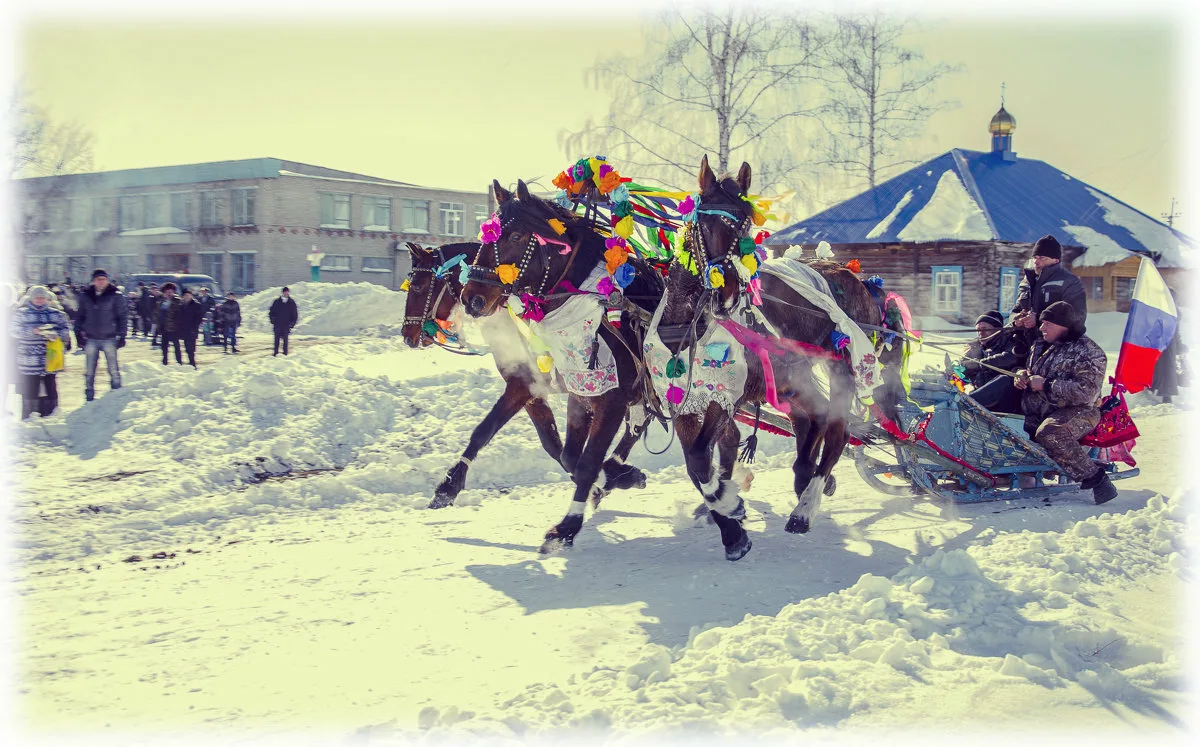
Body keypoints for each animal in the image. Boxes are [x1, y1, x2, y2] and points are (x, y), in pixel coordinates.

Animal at [400, 238, 648, 509]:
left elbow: (483, 431)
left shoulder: (523, 386)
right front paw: (595, 487)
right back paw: (619, 472)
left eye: (419, 286)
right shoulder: (531, 392)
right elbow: (552, 445)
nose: (408, 335)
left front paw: (448, 486)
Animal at [458, 182, 667, 557]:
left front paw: (566, 527)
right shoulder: (570, 392)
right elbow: (567, 454)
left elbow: (585, 463)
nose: (472, 299)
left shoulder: (611, 398)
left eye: (516, 235)